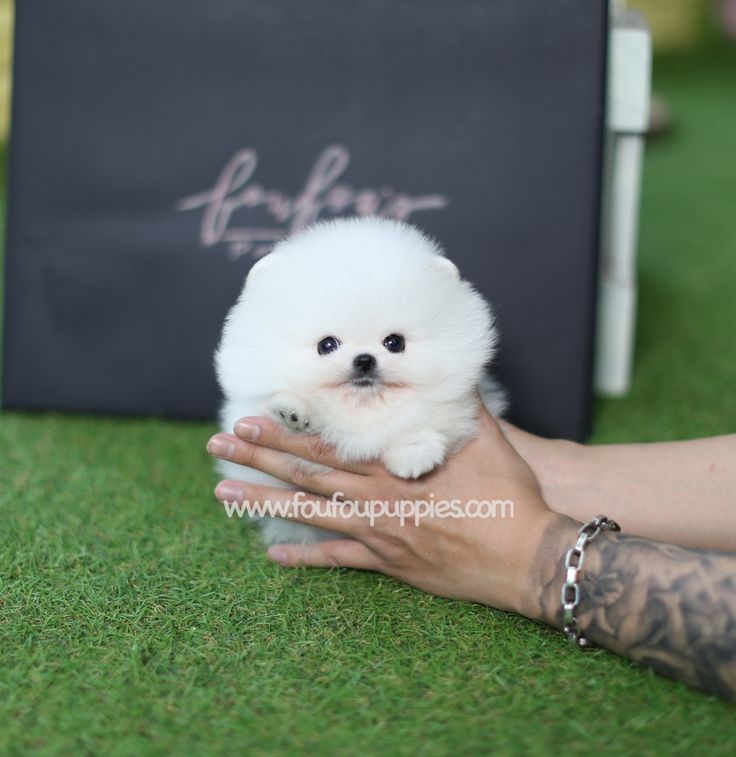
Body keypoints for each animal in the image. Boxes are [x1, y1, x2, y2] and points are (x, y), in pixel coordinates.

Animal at [214, 214, 506, 544]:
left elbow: (422, 421)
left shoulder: (456, 405)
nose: (364, 360)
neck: (362, 408)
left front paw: (414, 455)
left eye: (395, 342)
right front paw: (292, 412)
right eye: (326, 345)